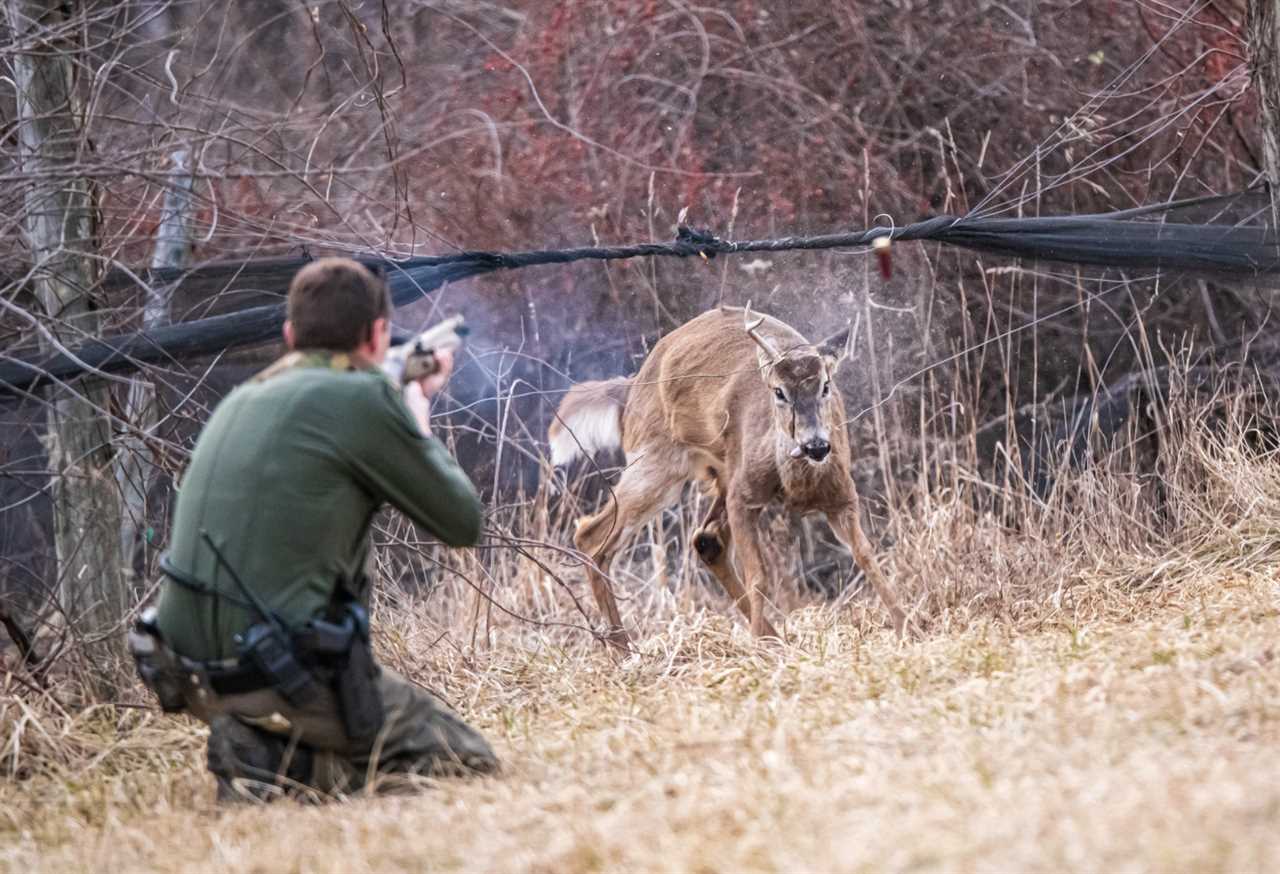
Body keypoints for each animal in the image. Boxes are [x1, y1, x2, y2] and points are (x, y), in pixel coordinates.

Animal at [550, 304, 911, 644]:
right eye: (778, 392)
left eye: (825, 386)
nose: (816, 445)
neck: (795, 484)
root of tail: (632, 389)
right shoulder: (743, 495)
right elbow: (759, 577)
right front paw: (755, 646)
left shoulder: (841, 494)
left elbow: (866, 555)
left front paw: (908, 627)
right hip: (656, 461)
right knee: (591, 536)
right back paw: (624, 650)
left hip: (718, 471)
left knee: (705, 539)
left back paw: (773, 639)